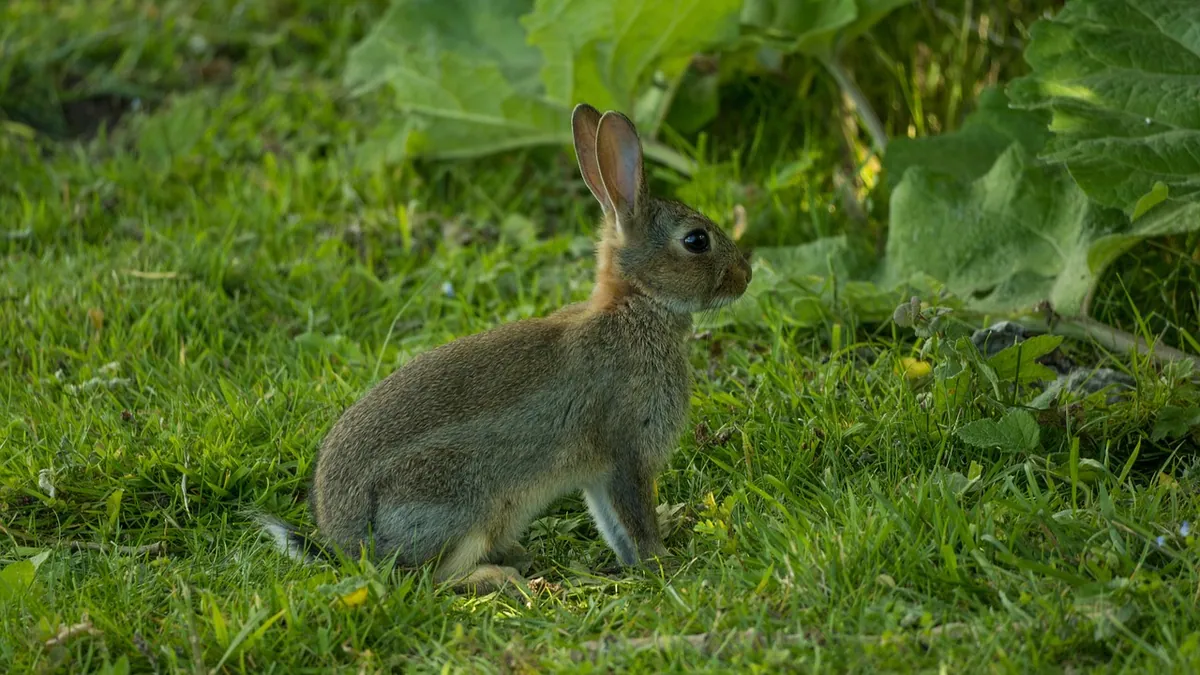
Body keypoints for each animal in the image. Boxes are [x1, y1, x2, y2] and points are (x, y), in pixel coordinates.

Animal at [256, 103, 752, 593]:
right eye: (696, 240)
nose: (745, 276)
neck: (637, 304)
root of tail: (347, 544)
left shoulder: (598, 474)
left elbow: (612, 524)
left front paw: (641, 561)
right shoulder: (627, 452)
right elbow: (635, 518)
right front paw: (663, 563)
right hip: (460, 505)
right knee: (428, 579)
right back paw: (504, 575)